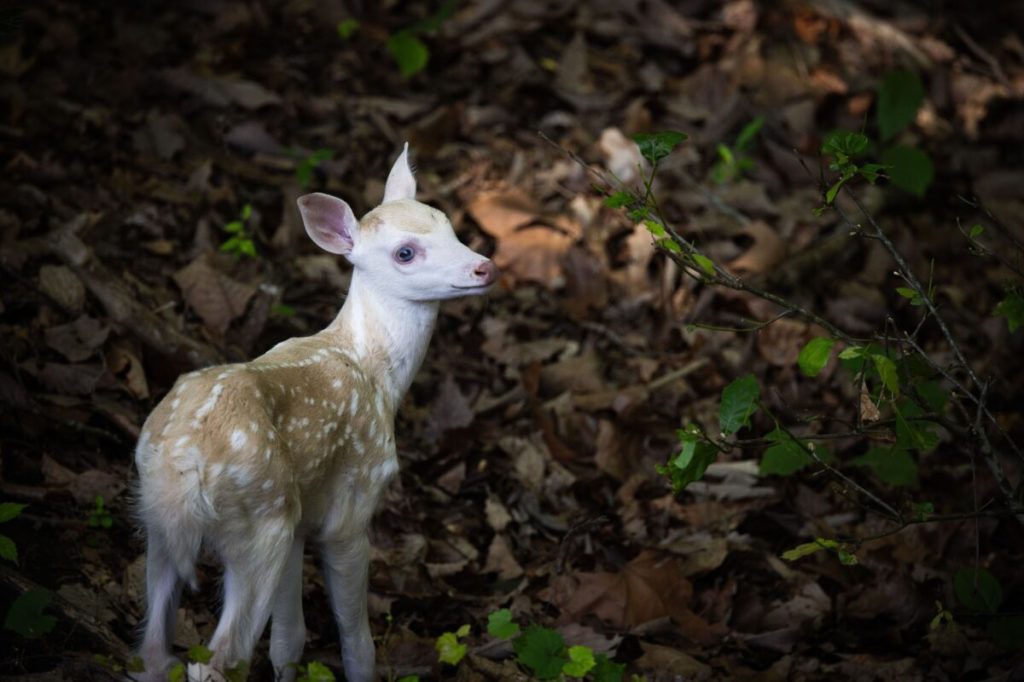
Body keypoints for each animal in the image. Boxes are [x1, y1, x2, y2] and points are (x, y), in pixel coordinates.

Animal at [133, 144, 499, 682]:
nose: (484, 267)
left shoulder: (301, 516)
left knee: (153, 654)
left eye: (448, 224)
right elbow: (356, 640)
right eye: (405, 252)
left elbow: (289, 640)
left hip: (161, 520)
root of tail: (183, 465)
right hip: (258, 521)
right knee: (219, 660)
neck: (375, 371)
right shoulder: (351, 505)